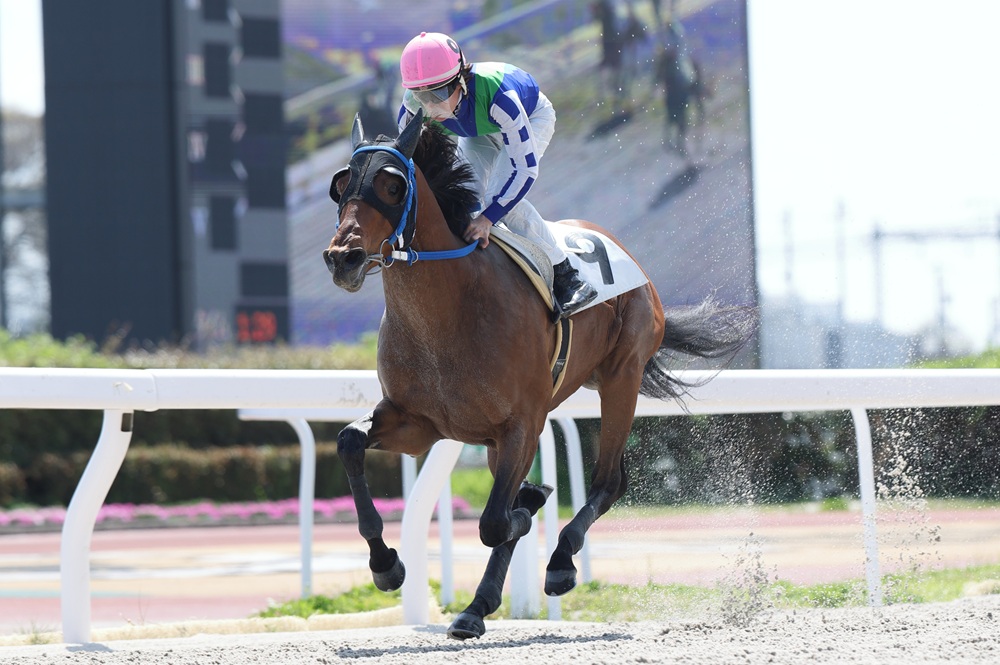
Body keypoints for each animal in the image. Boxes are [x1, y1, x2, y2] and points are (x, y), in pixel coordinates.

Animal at [323, 109, 754, 640]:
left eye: (391, 184)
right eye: (341, 185)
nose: (343, 257)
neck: (447, 312)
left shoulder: (522, 424)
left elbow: (495, 521)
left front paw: (529, 508)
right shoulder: (418, 422)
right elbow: (349, 441)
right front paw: (386, 565)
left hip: (622, 377)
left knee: (610, 480)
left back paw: (559, 562)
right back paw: (475, 607)